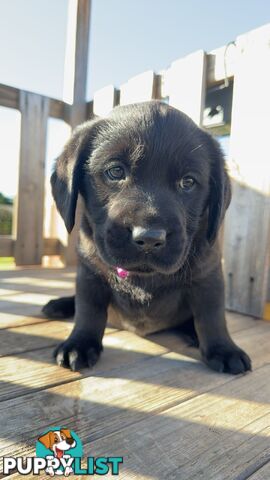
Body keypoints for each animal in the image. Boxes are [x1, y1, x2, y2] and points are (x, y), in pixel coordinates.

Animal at [42, 99, 251, 374]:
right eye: (115, 171)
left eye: (188, 182)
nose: (150, 238)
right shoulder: (90, 273)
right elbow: (88, 310)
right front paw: (80, 343)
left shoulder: (209, 276)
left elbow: (212, 315)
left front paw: (224, 349)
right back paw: (59, 305)